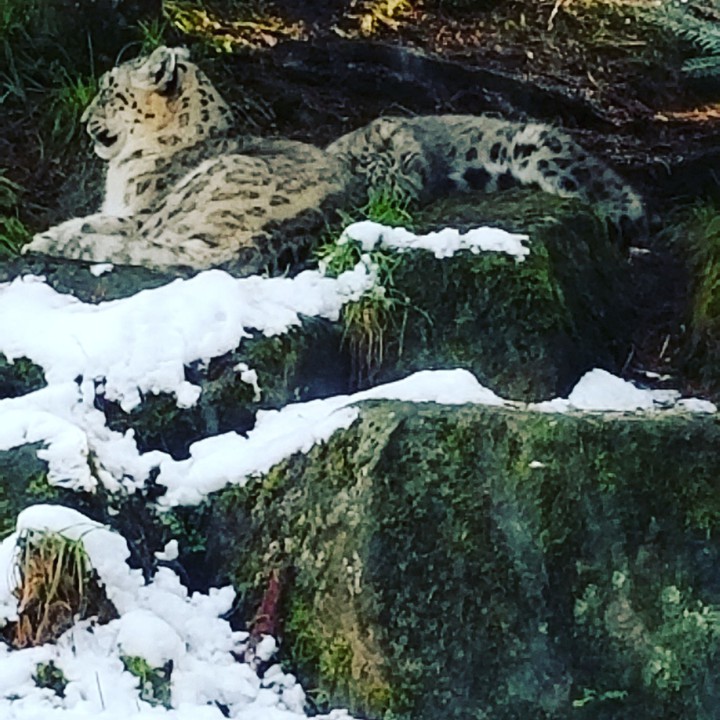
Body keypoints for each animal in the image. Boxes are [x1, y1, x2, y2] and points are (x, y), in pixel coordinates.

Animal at [24, 46, 645, 273]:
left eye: (109, 90)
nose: (84, 120)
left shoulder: (140, 209)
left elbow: (105, 223)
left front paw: (52, 232)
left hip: (186, 216)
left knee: (163, 249)